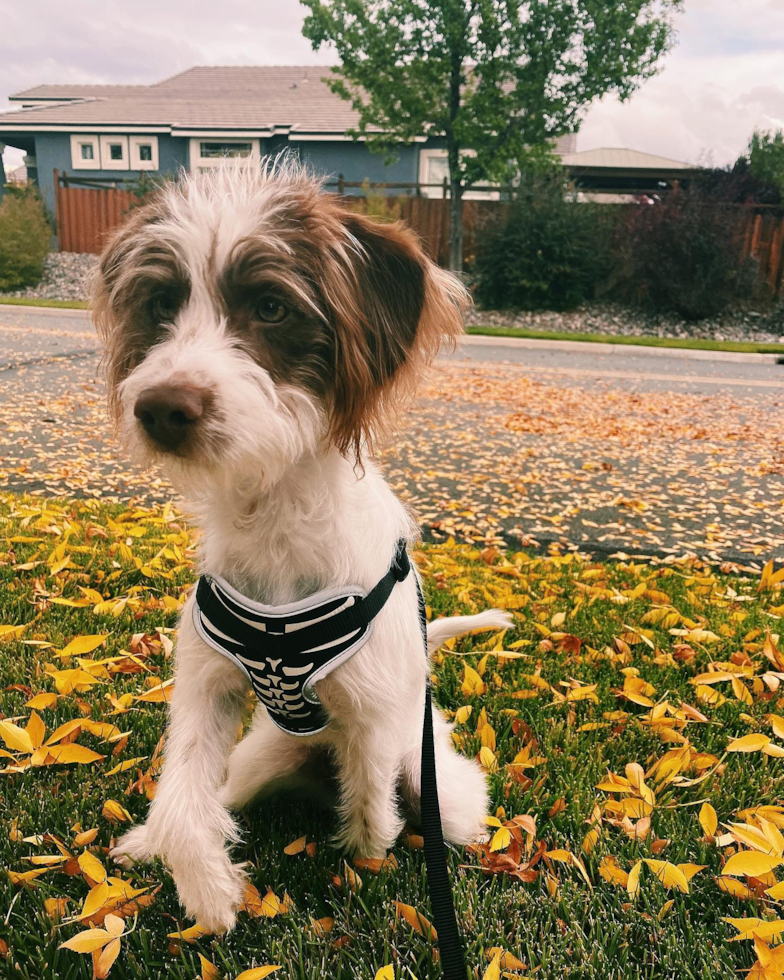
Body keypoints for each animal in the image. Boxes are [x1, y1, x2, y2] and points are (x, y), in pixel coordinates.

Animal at [95, 163, 512, 936]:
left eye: (270, 306)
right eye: (161, 304)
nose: (161, 407)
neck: (276, 525)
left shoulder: (372, 715)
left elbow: (372, 807)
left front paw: (365, 858)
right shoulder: (204, 688)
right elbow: (182, 799)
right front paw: (208, 890)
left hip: (440, 784)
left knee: (422, 802)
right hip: (261, 754)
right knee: (220, 794)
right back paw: (146, 841)